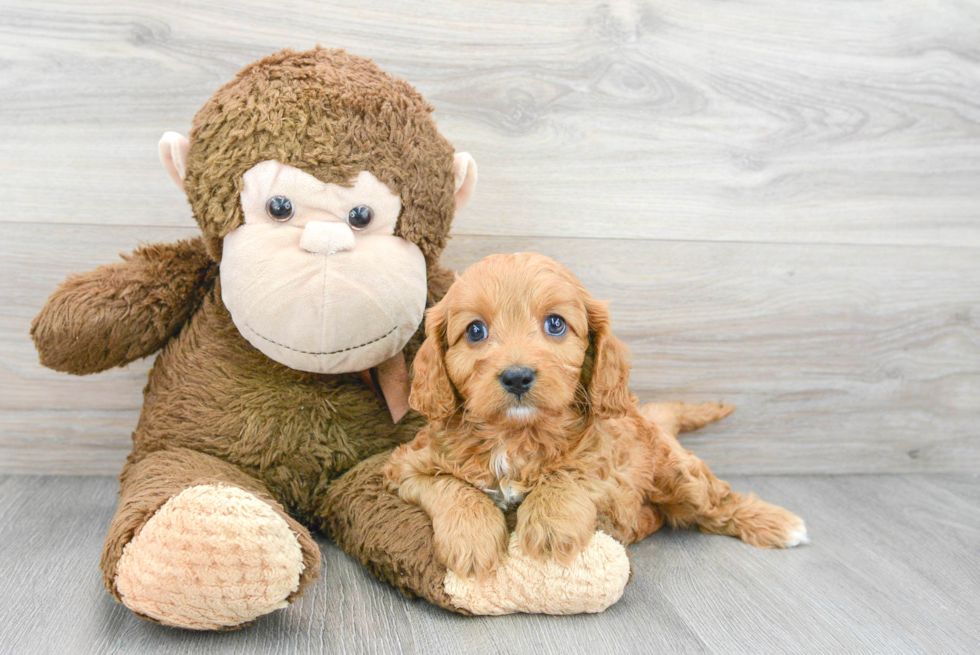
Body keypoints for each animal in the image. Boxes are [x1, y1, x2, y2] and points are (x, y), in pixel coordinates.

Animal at [380, 252, 804, 580]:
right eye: (475, 331)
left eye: (555, 324)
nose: (517, 376)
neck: (516, 435)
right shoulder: (406, 465)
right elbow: (452, 487)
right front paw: (472, 539)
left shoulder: (609, 454)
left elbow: (572, 470)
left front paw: (551, 522)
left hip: (677, 471)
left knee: (718, 500)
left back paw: (778, 524)